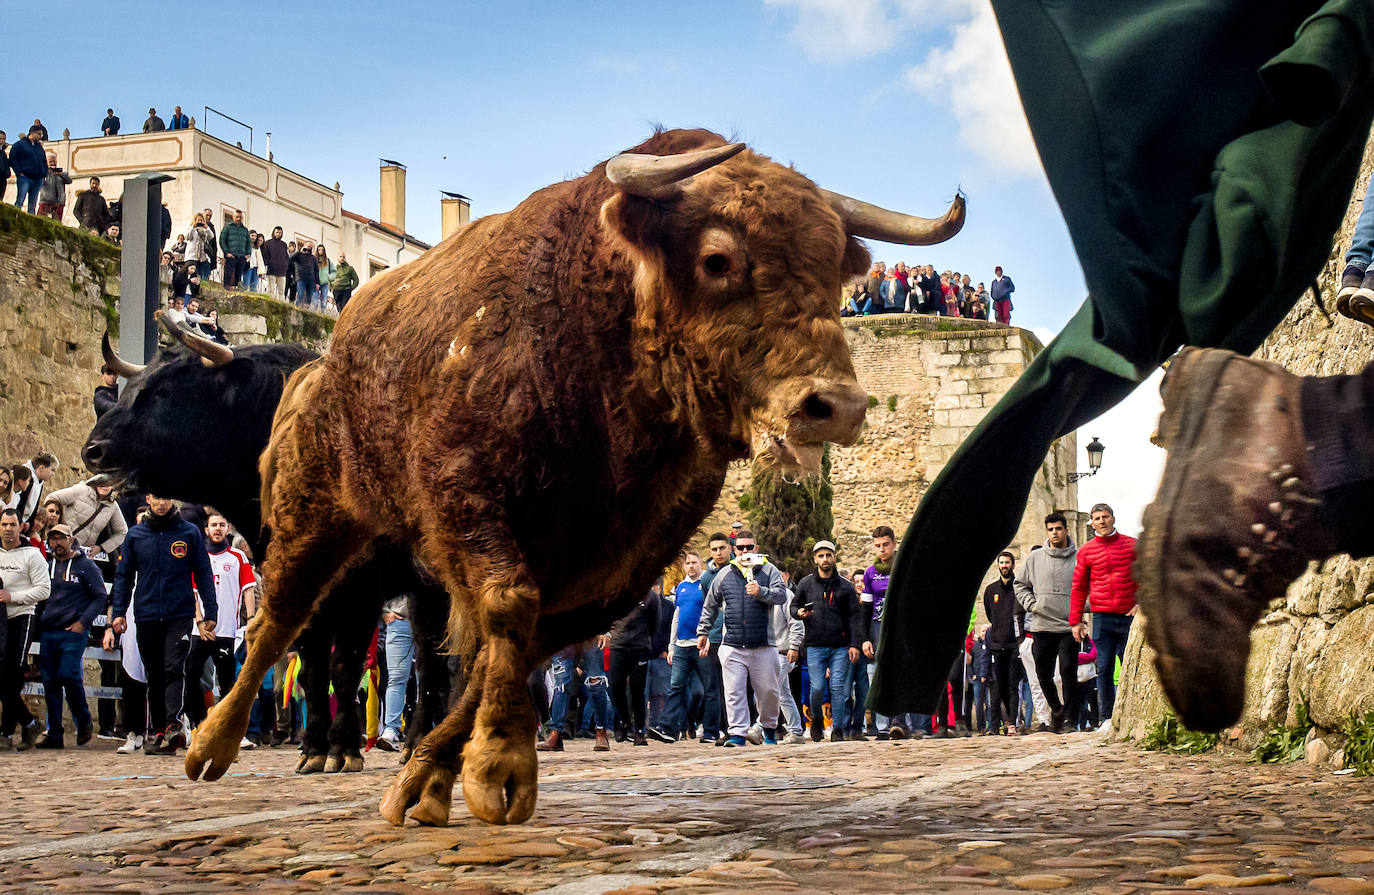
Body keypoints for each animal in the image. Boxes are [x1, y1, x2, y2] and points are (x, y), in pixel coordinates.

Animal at [85, 335, 450, 769]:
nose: (93, 450)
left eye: (163, 391)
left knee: (431, 661)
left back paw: (421, 742)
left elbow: (344, 666)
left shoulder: (362, 587)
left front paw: (343, 750)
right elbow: (313, 666)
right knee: (432, 657)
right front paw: (314, 749)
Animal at [185, 125, 967, 824]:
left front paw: (433, 777)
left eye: (835, 266)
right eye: (718, 258)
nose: (836, 404)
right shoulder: (468, 501)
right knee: (282, 616)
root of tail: (325, 359)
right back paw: (210, 746)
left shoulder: (613, 571)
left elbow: (512, 648)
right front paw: (497, 769)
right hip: (315, 512)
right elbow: (507, 606)